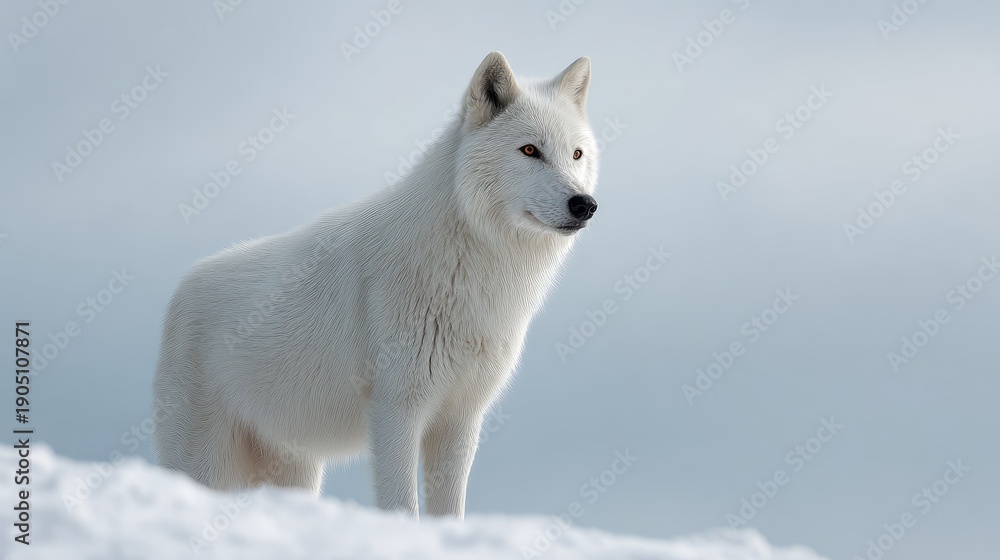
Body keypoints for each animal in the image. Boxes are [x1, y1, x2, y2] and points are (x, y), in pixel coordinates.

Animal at [152, 52, 599, 518]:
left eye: (576, 154)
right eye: (530, 150)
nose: (584, 204)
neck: (473, 270)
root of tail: (183, 287)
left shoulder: (460, 419)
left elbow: (450, 510)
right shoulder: (396, 411)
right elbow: (402, 504)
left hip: (296, 471)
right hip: (204, 461)